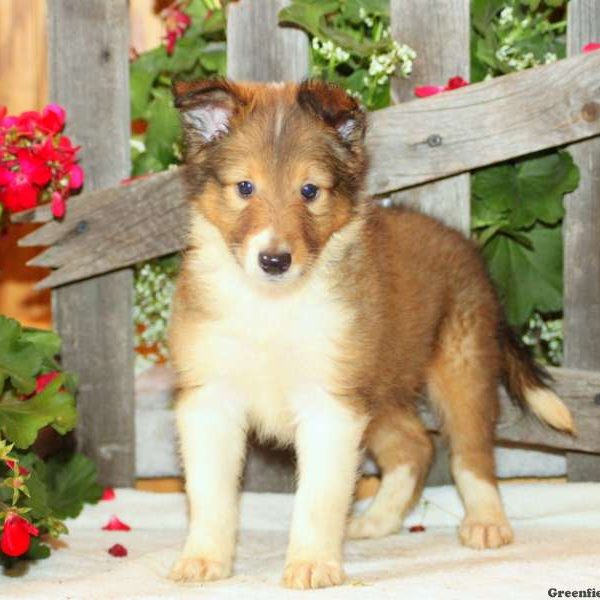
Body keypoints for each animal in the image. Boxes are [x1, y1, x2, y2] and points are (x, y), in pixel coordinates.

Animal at [166, 79, 576, 592]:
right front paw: (204, 559)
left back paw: (486, 522)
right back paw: (378, 521)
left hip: (462, 366)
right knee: (415, 446)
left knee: (470, 451)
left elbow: (318, 496)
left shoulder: (331, 404)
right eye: (244, 187)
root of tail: (467, 247)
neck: (272, 306)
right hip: (377, 389)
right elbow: (210, 493)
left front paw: (312, 565)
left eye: (310, 190)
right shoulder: (211, 398)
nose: (275, 260)